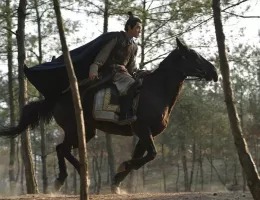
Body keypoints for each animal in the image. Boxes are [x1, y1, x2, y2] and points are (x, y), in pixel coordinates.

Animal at [0, 38, 217, 193]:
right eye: (193, 55)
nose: (214, 72)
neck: (156, 91)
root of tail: (57, 98)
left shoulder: (144, 135)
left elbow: (141, 157)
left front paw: (117, 181)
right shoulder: (143, 130)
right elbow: (151, 155)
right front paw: (121, 169)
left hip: (86, 131)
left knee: (61, 148)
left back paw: (63, 179)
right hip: (74, 128)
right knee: (63, 148)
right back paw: (82, 176)